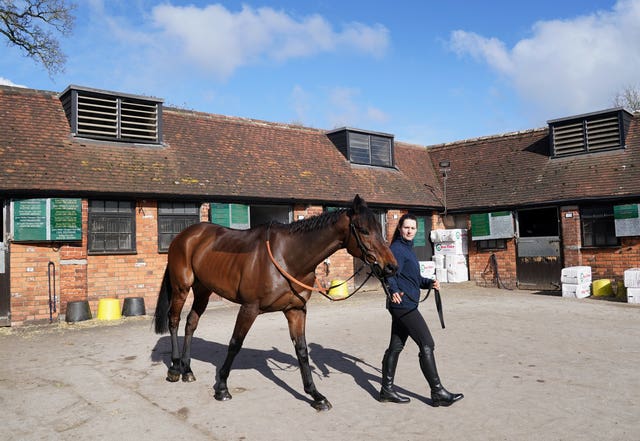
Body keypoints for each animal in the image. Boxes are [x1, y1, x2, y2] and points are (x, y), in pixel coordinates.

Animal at [154, 194, 396, 410]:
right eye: (364, 230)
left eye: (379, 228)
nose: (391, 266)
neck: (288, 257)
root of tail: (185, 236)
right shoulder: (249, 308)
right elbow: (235, 344)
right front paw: (222, 387)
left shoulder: (296, 310)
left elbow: (302, 350)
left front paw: (315, 395)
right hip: (181, 288)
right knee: (174, 320)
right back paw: (174, 369)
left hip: (203, 290)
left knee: (191, 323)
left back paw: (187, 370)